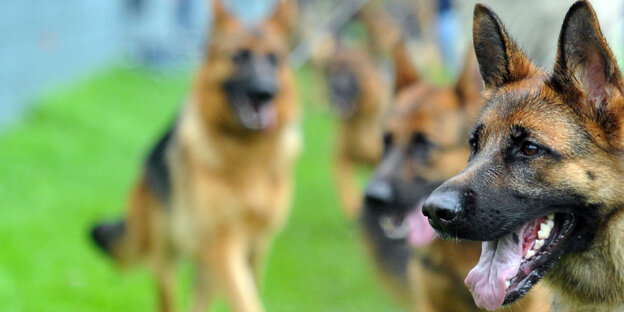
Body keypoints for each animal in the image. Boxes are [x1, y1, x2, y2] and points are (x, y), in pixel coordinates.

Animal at [89, 0, 300, 312]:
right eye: (239, 56)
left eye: (274, 59)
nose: (266, 93)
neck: (247, 155)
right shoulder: (223, 242)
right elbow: (246, 299)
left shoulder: (258, 245)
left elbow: (251, 292)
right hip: (167, 256)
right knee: (168, 296)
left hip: (205, 268)